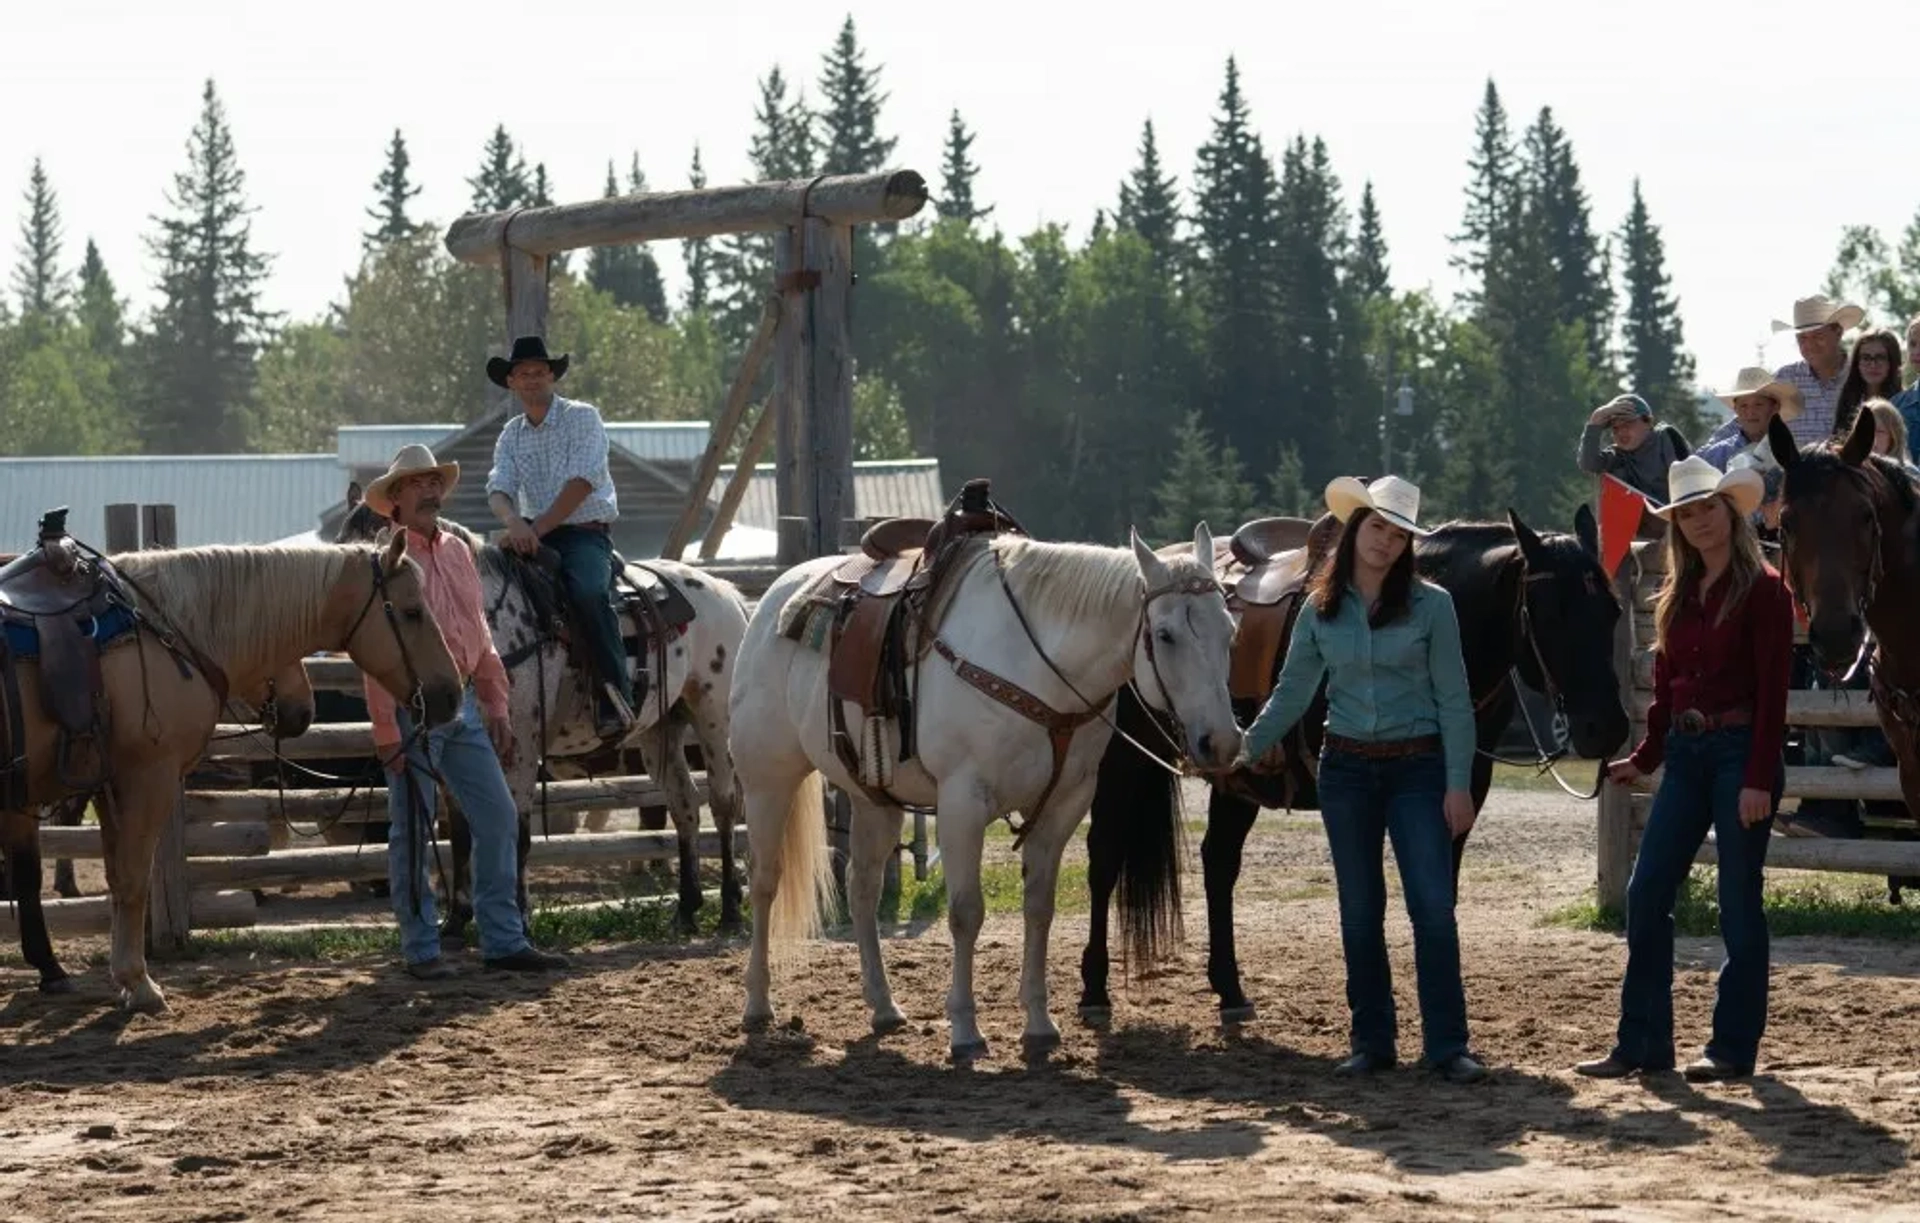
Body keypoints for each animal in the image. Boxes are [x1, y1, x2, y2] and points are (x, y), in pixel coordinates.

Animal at [0, 537, 460, 1013]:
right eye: (412, 611)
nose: (452, 694)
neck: (160, 633)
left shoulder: (110, 784)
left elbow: (115, 878)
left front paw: (122, 980)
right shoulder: (148, 778)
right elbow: (133, 879)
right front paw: (139, 983)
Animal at [334, 506, 752, 933]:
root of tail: (725, 592)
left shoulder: (520, 746)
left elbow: (515, 829)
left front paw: (519, 916)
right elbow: (462, 831)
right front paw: (457, 920)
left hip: (715, 721)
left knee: (724, 804)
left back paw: (730, 909)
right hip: (659, 729)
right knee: (684, 805)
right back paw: (685, 909)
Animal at [725, 526, 1236, 1059]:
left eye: (1230, 630)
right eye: (1166, 634)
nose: (1221, 742)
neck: (1039, 665)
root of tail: (775, 598)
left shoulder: (1064, 805)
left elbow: (1039, 909)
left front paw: (1039, 1022)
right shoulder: (962, 804)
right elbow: (966, 913)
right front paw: (965, 1030)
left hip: (873, 801)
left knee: (862, 889)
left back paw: (884, 1007)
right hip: (767, 781)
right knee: (764, 883)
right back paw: (758, 1004)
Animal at [1075, 503, 1628, 1021]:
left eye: (1613, 611)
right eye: (1552, 612)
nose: (1607, 727)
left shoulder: (1460, 794)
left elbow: (1439, 892)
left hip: (1236, 778)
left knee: (1219, 864)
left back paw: (1229, 988)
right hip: (1122, 760)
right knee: (1104, 855)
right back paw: (1095, 989)